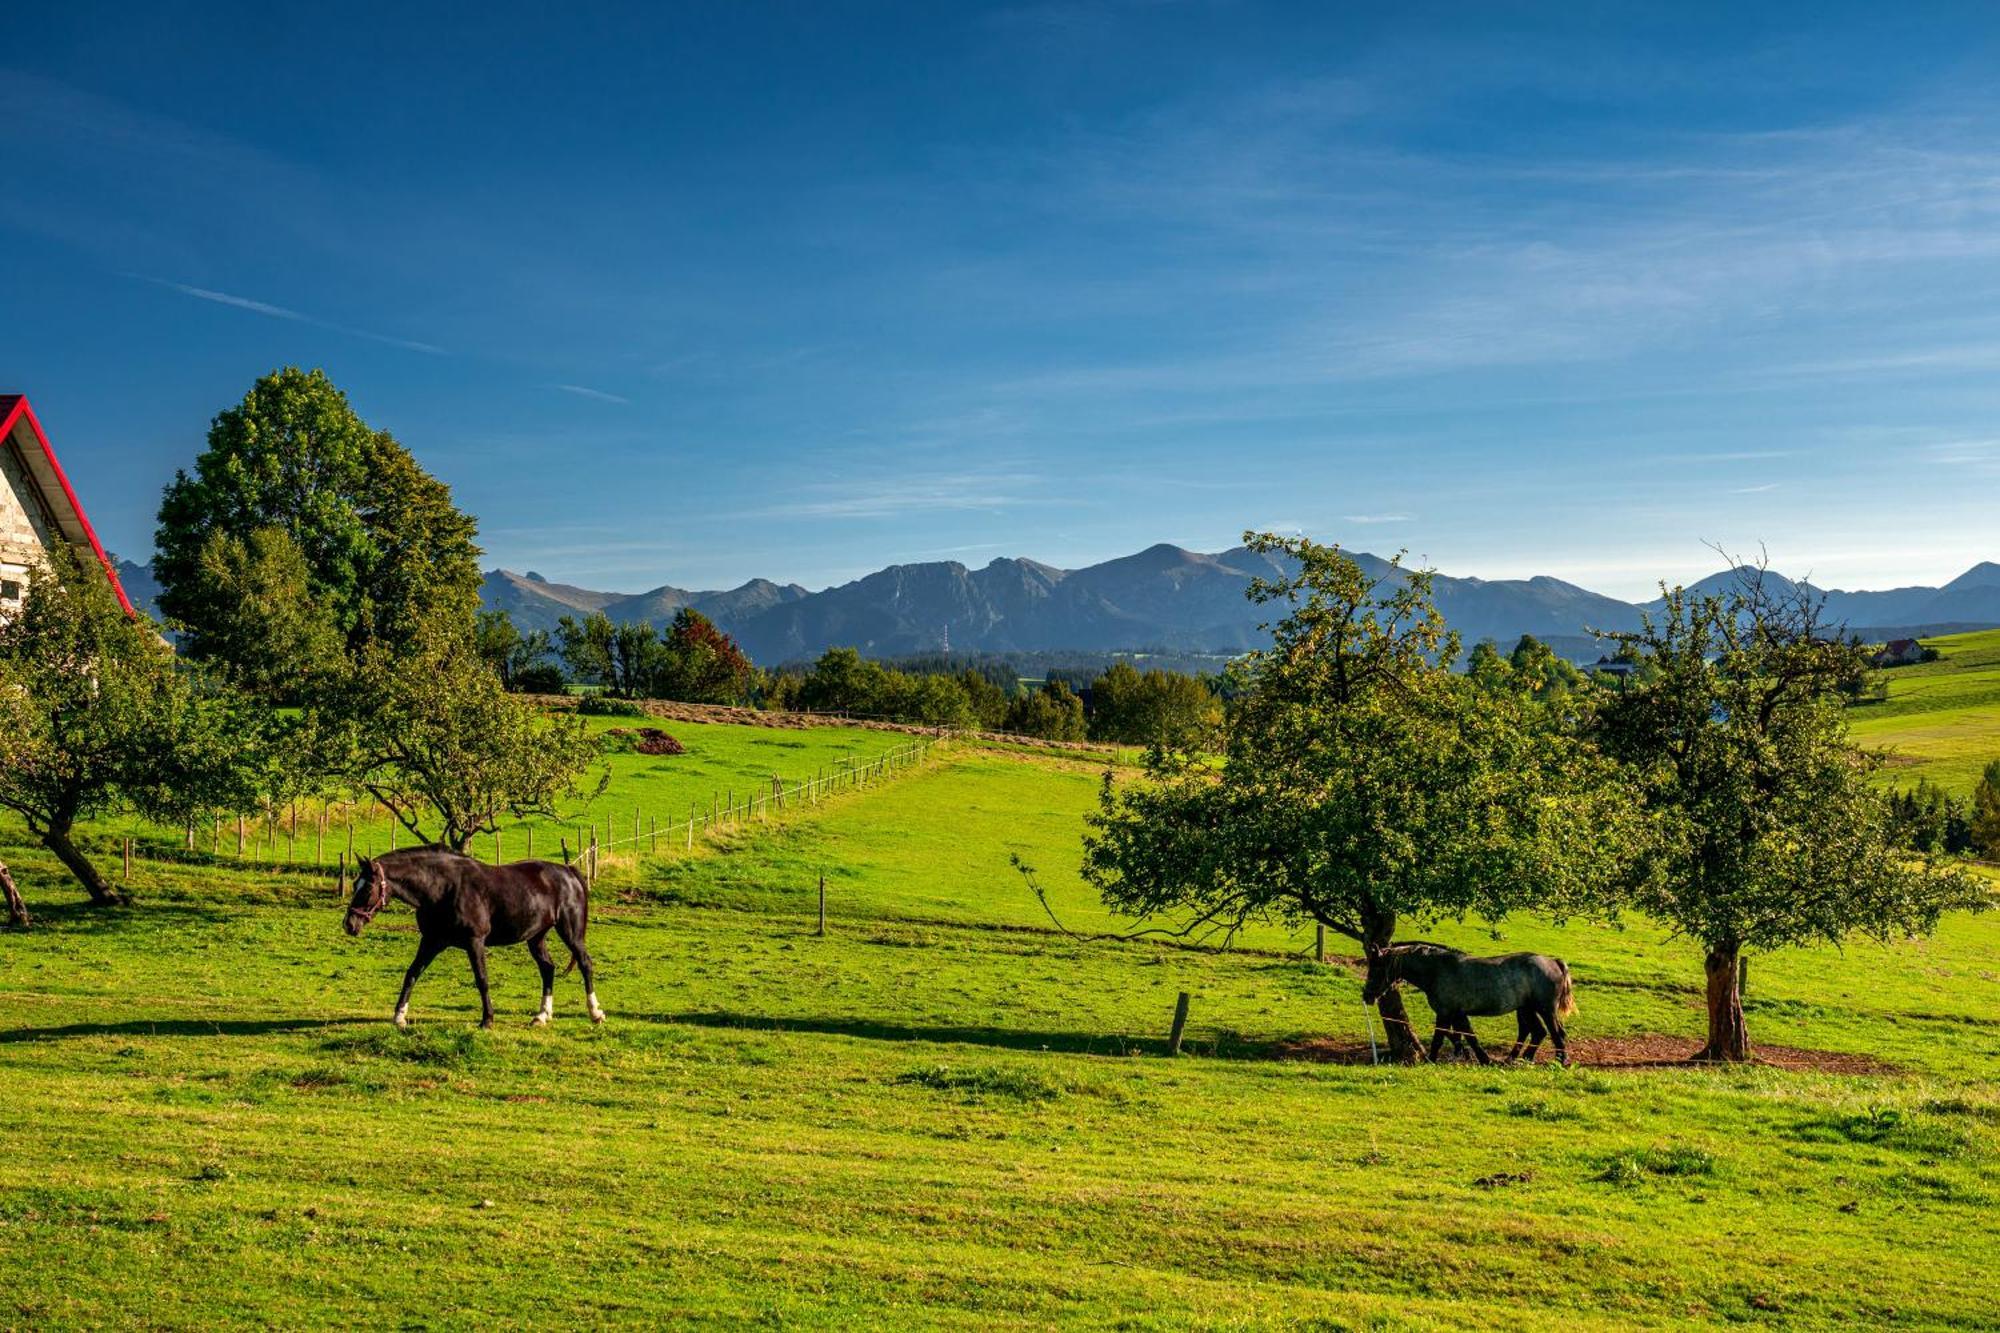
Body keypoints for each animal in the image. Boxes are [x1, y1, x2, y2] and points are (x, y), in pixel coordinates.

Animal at [344, 844, 600, 1020]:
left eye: (367, 887)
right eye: (355, 883)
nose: (349, 924)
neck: (443, 888)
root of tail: (568, 871)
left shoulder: (474, 941)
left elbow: (482, 979)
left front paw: (487, 1019)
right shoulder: (432, 941)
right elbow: (412, 974)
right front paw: (399, 1017)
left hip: (570, 932)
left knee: (585, 963)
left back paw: (595, 1013)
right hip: (536, 937)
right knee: (548, 968)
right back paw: (542, 1016)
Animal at [1360, 940, 1576, 1064]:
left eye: (1376, 968)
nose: (1366, 996)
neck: (1437, 970)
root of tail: (1553, 962)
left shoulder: (1445, 1013)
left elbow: (1440, 1037)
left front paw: (1431, 1060)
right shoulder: (1458, 1014)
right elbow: (1466, 1036)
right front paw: (1481, 1059)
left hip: (1545, 1010)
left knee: (1555, 1033)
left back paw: (1561, 1060)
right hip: (1526, 1009)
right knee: (1537, 1032)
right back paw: (1521, 1059)